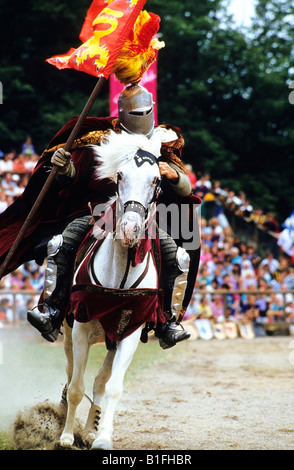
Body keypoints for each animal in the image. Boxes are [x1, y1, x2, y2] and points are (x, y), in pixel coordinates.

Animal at [60, 130, 163, 450]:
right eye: (120, 175)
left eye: (156, 180)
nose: (130, 229)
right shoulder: (80, 326)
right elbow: (76, 386)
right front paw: (65, 437)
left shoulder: (129, 330)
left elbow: (113, 387)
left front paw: (103, 437)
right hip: (69, 331)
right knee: (72, 375)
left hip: (111, 340)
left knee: (100, 381)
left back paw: (91, 429)